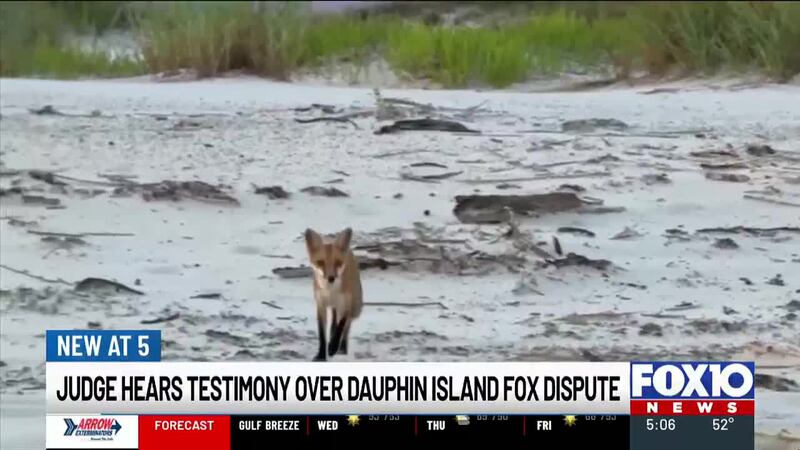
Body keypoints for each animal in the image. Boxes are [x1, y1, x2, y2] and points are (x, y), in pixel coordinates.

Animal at [304, 227, 363, 361]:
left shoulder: (346, 305)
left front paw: (333, 347)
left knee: (347, 327)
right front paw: (321, 355)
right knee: (335, 321)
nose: (331, 278)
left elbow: (341, 327)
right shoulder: (321, 305)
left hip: (355, 307)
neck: (331, 292)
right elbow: (322, 335)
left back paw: (342, 348)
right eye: (320, 262)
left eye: (338, 262)